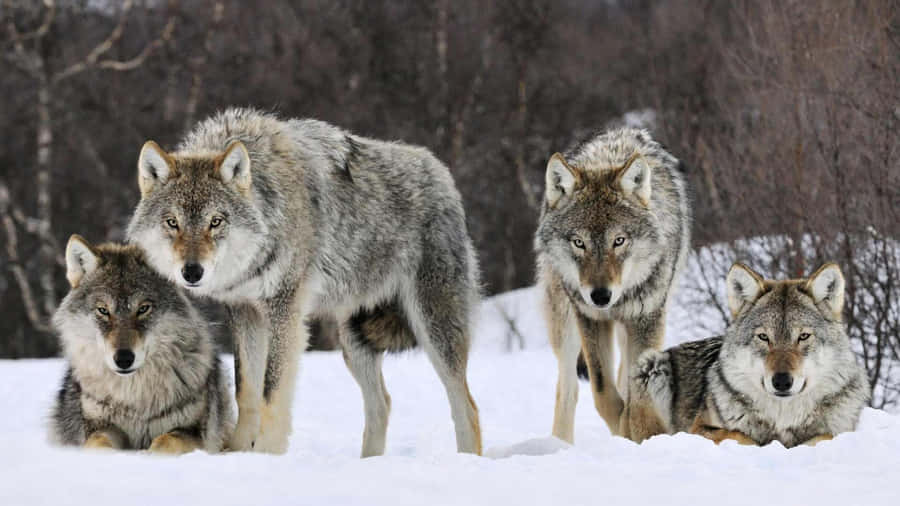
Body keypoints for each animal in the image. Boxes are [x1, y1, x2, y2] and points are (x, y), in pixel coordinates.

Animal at [51, 236, 233, 454]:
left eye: (143, 309)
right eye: (103, 310)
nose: (123, 359)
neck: (134, 399)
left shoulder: (193, 432)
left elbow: (165, 441)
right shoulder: (100, 426)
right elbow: (98, 442)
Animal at [127, 108, 482, 456]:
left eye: (216, 221)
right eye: (172, 222)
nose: (192, 272)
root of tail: (441, 172)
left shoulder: (285, 310)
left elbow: (271, 392)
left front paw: (266, 454)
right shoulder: (244, 312)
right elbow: (246, 391)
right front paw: (238, 452)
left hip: (433, 328)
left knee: (466, 406)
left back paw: (467, 459)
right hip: (354, 341)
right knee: (382, 403)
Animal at [535, 128, 690, 442]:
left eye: (619, 240)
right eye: (578, 242)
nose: (600, 296)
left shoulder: (647, 319)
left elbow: (634, 394)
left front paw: (636, 433)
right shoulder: (591, 318)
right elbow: (604, 393)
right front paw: (623, 429)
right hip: (565, 324)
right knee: (568, 389)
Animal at [628, 262, 870, 447]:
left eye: (803, 336)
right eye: (763, 337)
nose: (782, 381)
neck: (782, 419)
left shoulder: (839, 431)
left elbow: (824, 436)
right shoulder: (698, 428)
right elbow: (740, 435)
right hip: (651, 365)